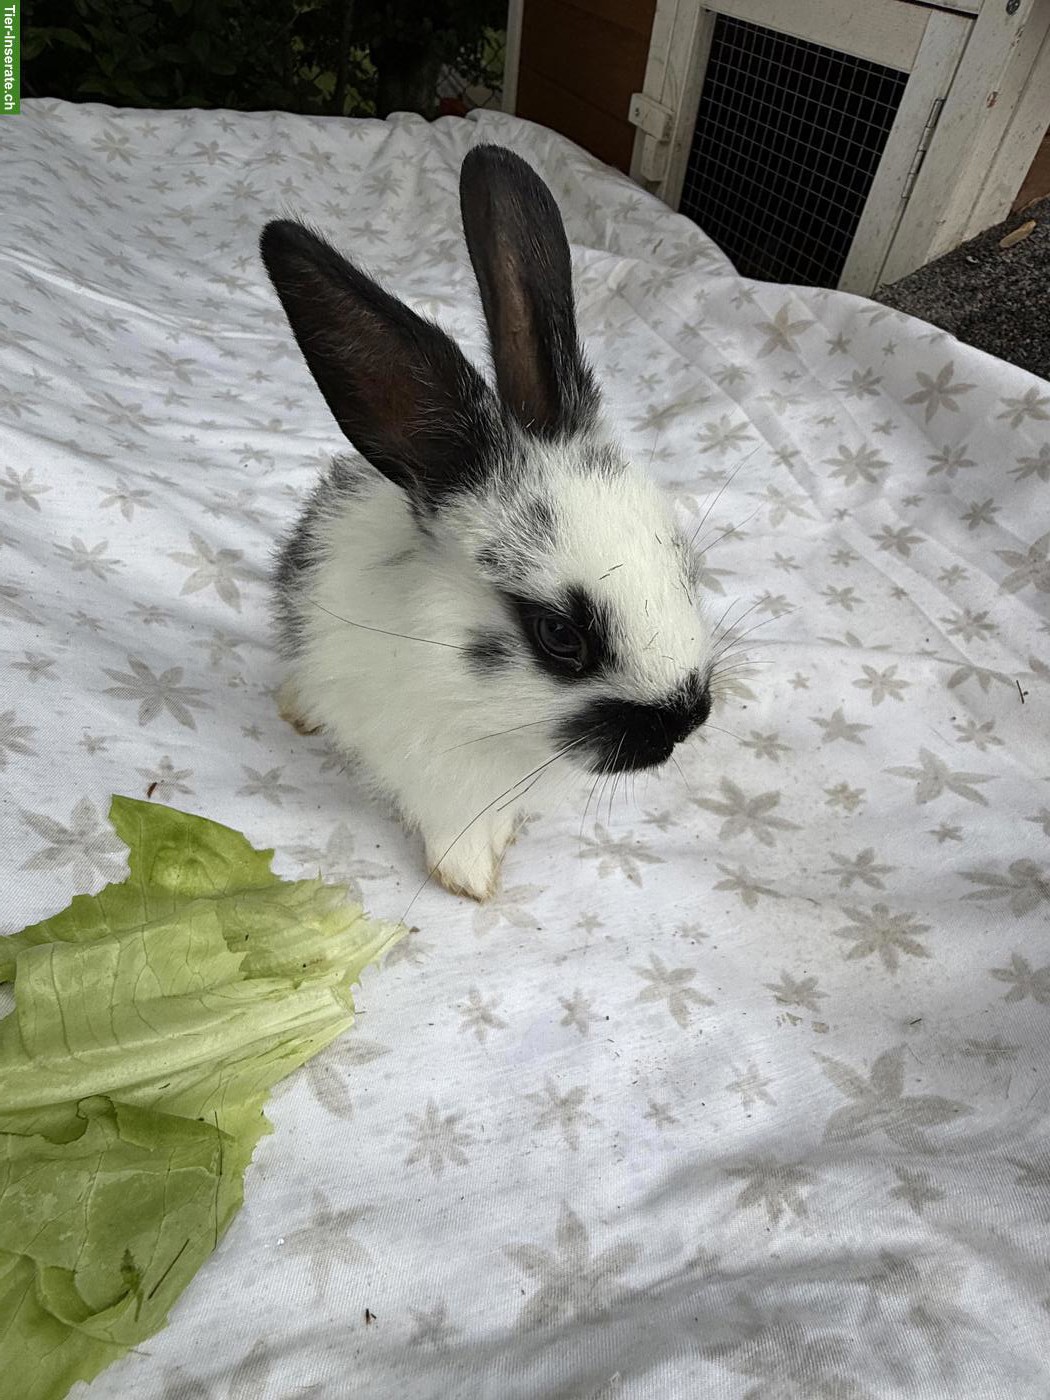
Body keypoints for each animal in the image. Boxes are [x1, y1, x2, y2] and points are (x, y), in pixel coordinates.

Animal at [259, 144, 717, 902]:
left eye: (684, 564)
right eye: (559, 636)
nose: (685, 722)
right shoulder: (439, 777)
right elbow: (455, 832)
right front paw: (470, 879)